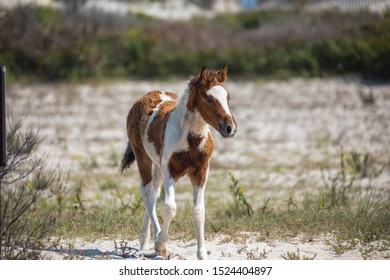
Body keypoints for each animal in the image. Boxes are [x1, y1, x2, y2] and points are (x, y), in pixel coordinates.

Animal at [121, 66, 238, 260]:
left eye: (228, 97)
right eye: (208, 98)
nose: (230, 128)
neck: (191, 139)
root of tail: (146, 96)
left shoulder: (201, 172)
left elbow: (199, 211)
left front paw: (201, 254)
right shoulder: (170, 171)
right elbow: (169, 207)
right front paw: (161, 245)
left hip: (158, 166)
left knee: (153, 192)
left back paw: (144, 242)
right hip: (143, 157)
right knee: (147, 194)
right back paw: (154, 240)